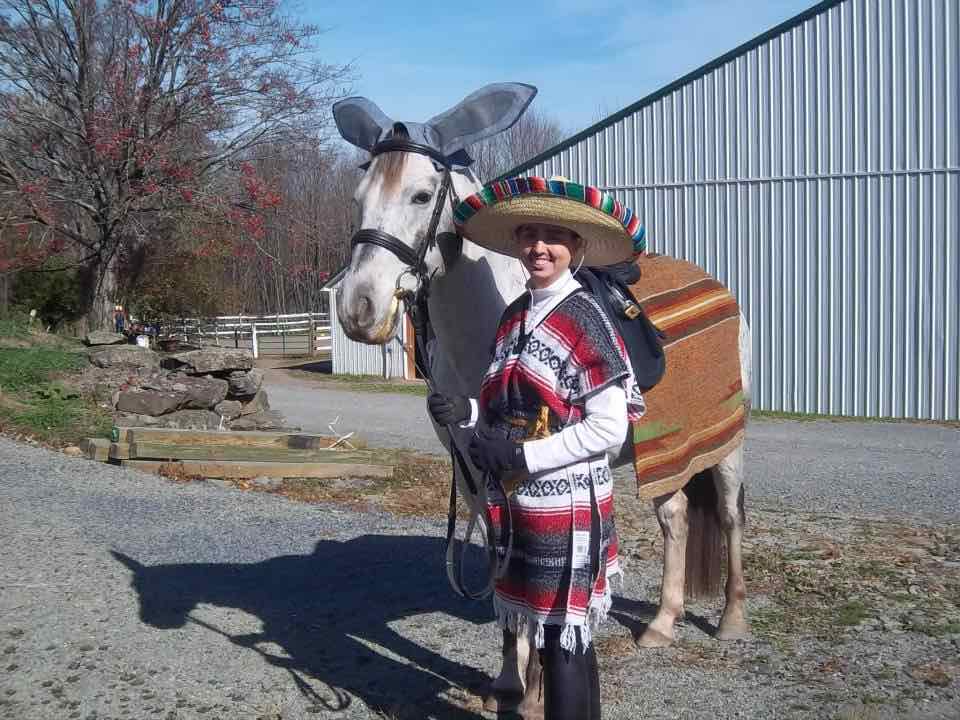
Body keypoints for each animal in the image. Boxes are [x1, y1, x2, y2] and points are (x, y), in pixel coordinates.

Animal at [332, 83, 751, 715]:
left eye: (422, 194)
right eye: (358, 198)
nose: (359, 309)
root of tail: (715, 287)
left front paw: (532, 693)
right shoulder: (475, 468)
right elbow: (502, 562)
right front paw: (509, 680)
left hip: (725, 441)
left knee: (727, 515)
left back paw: (731, 620)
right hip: (667, 449)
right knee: (676, 515)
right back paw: (661, 623)